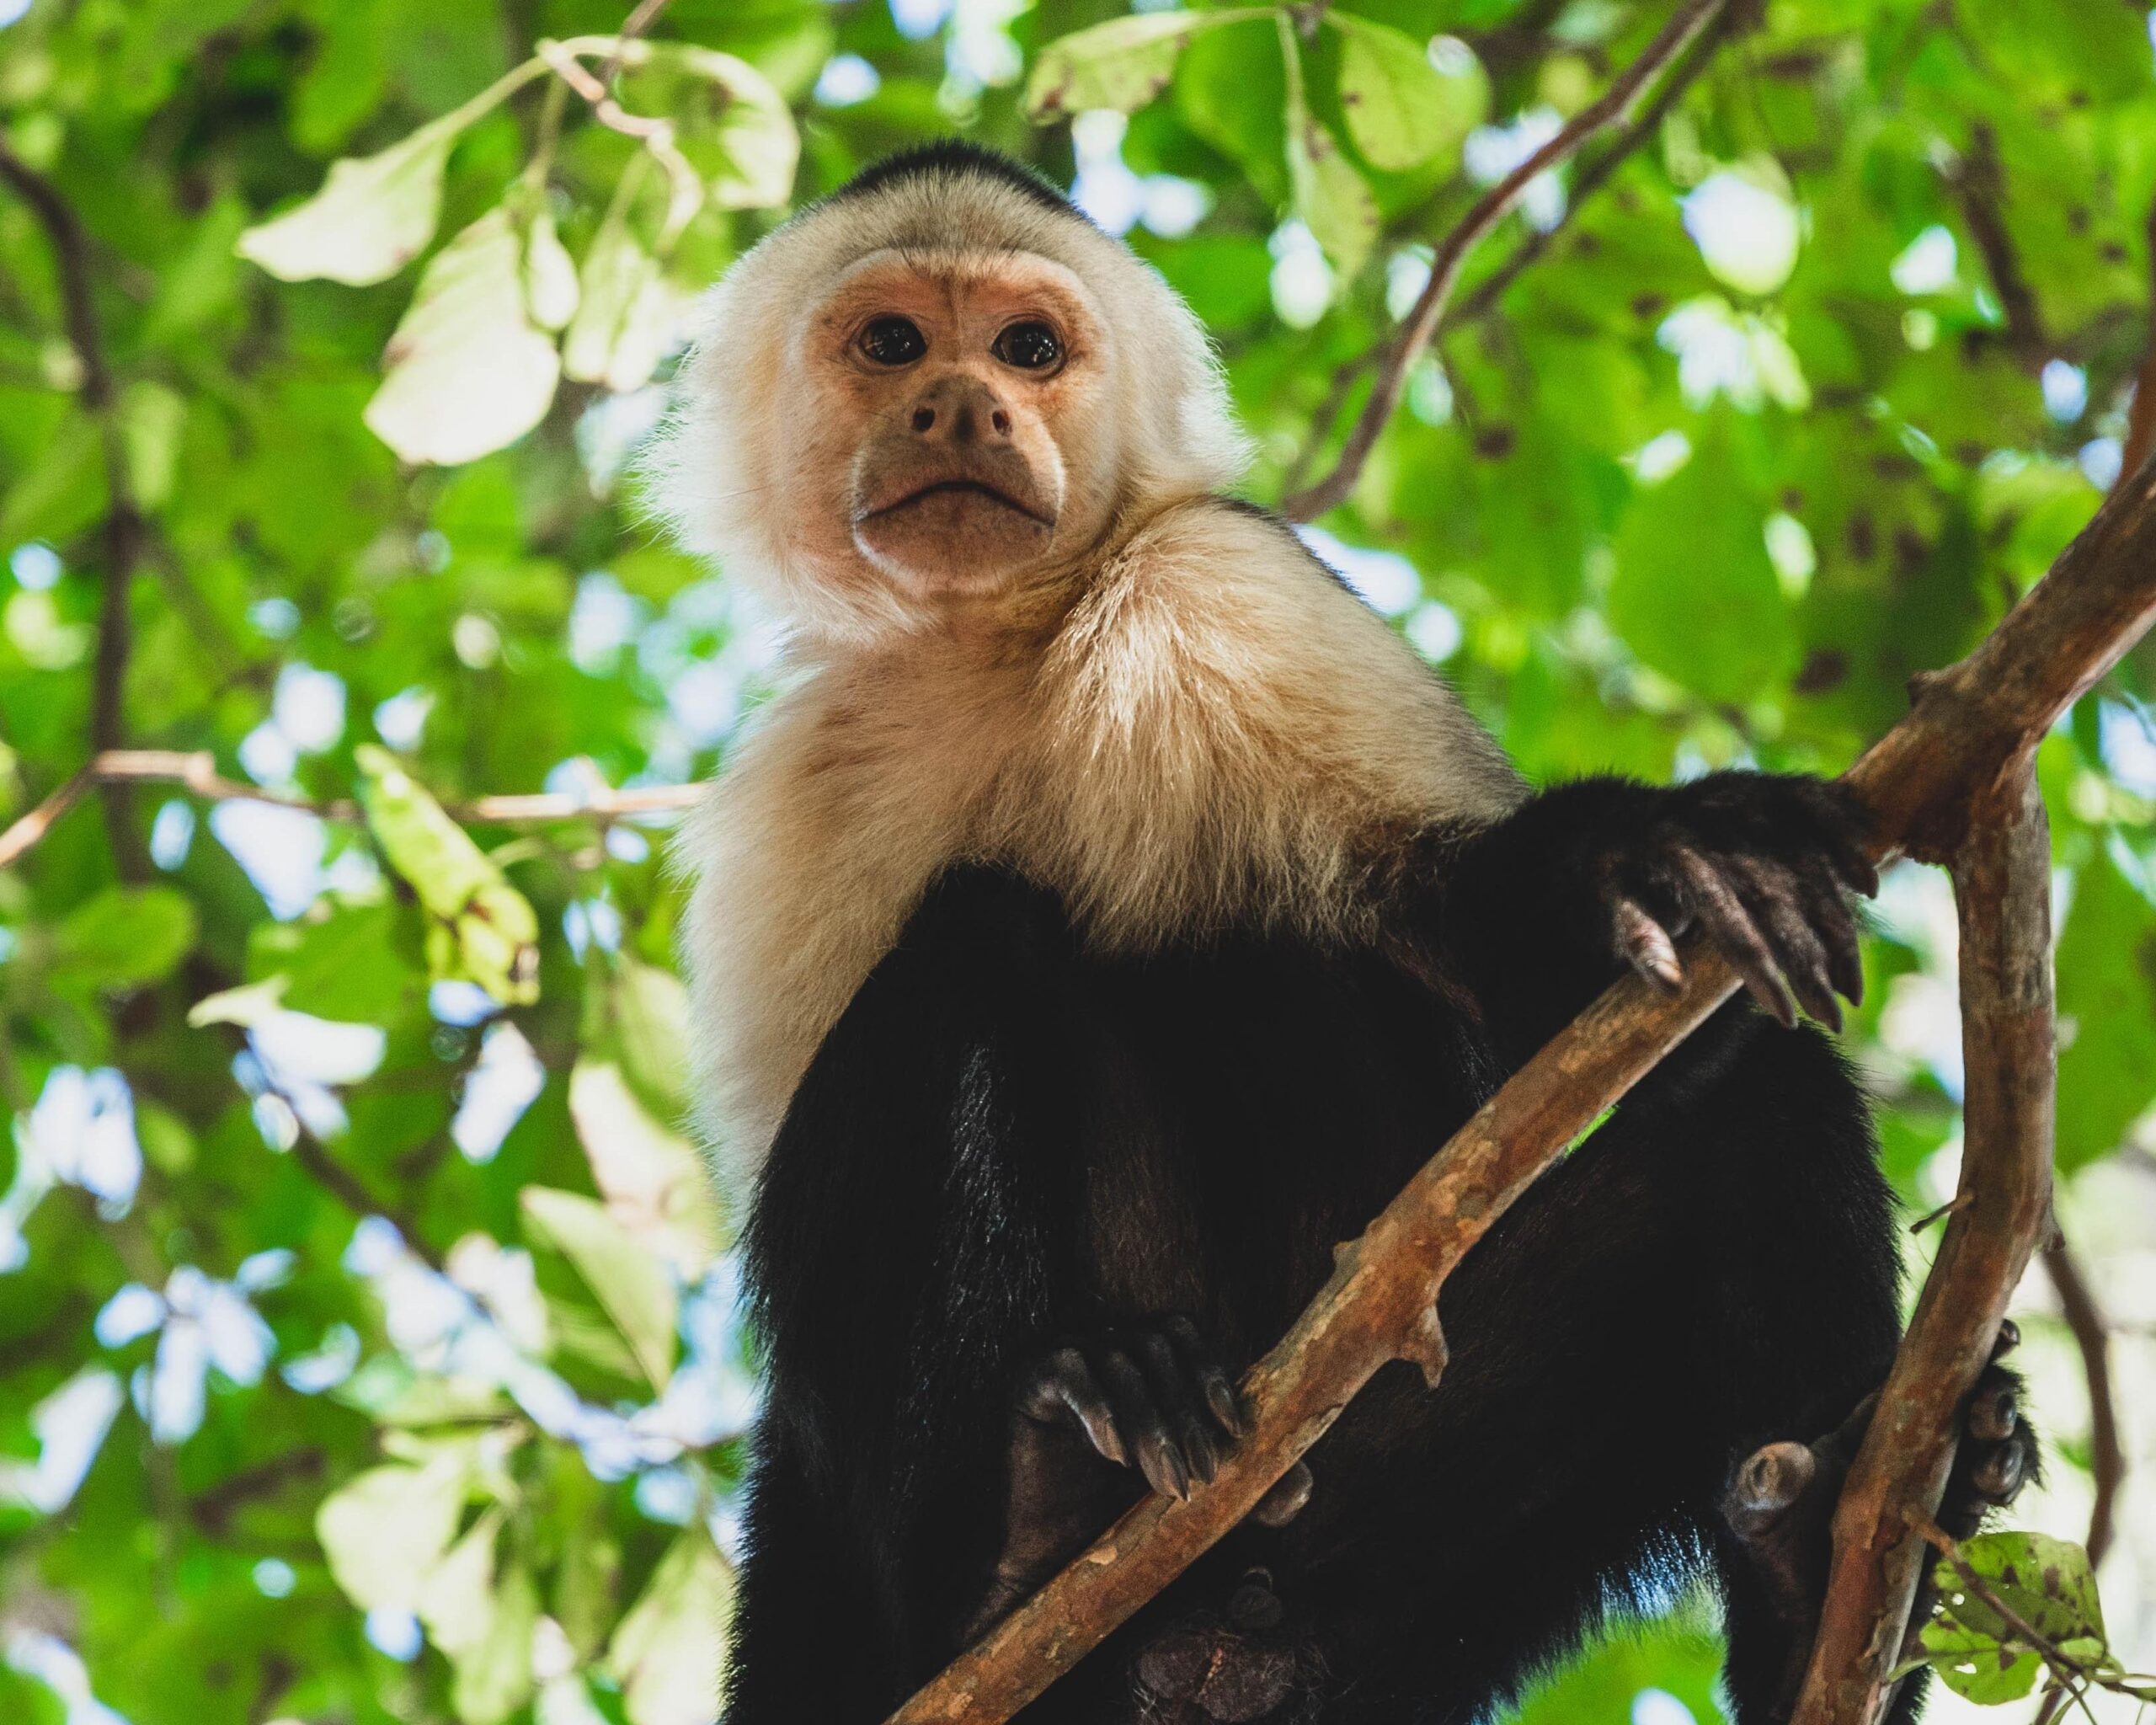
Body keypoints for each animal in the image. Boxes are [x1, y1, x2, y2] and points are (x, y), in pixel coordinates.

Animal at [647, 141, 2026, 1716]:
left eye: (1026, 350)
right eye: (890, 344)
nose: (962, 404)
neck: (989, 640)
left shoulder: (1222, 581)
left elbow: (1494, 963)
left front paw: (1648, 864)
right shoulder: (794, 788)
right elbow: (799, 1355)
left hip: (1395, 1558)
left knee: (1743, 1100)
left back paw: (1815, 1576)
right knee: (972, 951)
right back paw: (1020, 1530)